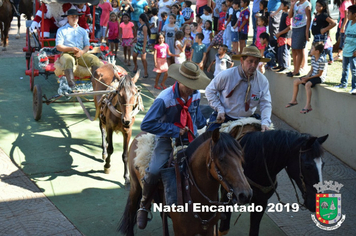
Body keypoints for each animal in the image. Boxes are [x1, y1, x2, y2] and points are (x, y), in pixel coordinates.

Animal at [118, 129, 252, 236]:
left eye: (241, 157)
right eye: (221, 159)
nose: (245, 194)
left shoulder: (208, 230)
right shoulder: (181, 231)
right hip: (135, 187)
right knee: (131, 211)